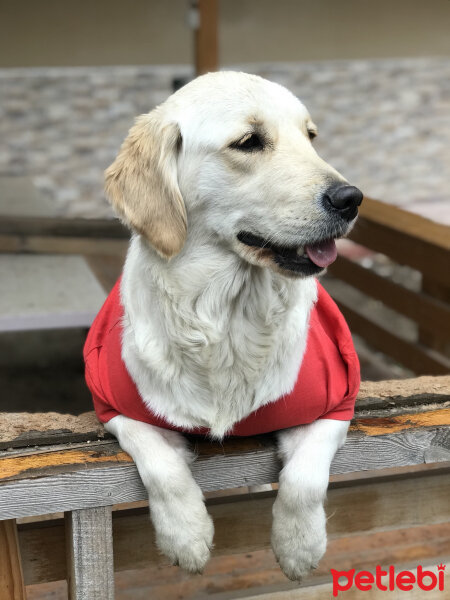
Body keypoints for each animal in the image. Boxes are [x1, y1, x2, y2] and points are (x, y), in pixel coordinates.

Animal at [83, 71, 362, 580]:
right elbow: (162, 466)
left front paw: (299, 546)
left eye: (310, 137)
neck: (227, 316)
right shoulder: (113, 404)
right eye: (249, 142)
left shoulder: (337, 400)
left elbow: (304, 478)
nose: (351, 198)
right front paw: (186, 536)